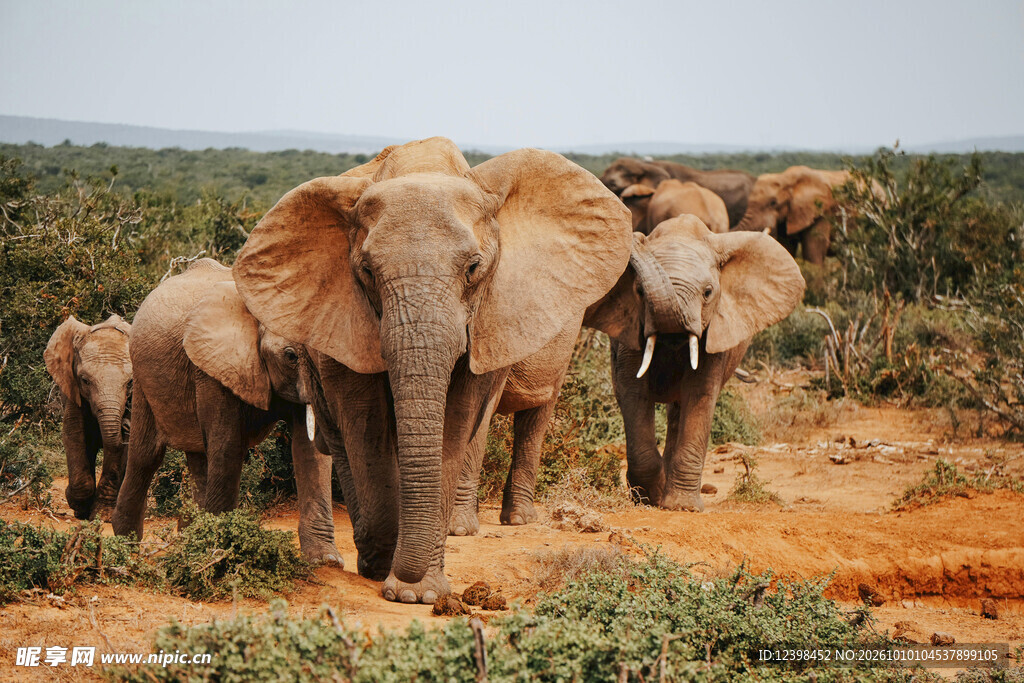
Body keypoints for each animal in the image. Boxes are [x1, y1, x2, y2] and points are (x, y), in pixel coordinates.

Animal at [44, 314, 132, 519]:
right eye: (85, 381)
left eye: (130, 383)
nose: (125, 424)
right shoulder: (71, 388)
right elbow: (73, 433)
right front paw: (79, 506)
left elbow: (120, 447)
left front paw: (103, 515)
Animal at [111, 259, 341, 565]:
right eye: (291, 356)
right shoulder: (213, 368)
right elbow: (228, 446)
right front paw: (221, 553)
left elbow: (310, 450)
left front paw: (325, 561)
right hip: (142, 375)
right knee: (146, 455)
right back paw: (126, 545)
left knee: (198, 457)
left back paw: (189, 537)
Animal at [232, 136, 632, 603]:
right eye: (366, 271)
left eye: (474, 269)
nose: (399, 576)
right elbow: (364, 419)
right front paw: (389, 570)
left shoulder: (490, 311)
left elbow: (457, 423)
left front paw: (419, 592)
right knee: (337, 434)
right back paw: (372, 554)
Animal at [584, 215, 804, 511]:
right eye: (639, 291)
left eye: (708, 292)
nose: (636, 238)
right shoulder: (630, 329)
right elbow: (633, 391)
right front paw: (650, 498)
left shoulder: (716, 332)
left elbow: (700, 394)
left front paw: (682, 507)